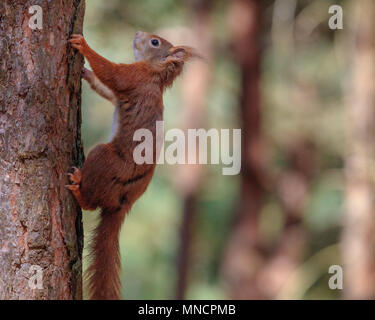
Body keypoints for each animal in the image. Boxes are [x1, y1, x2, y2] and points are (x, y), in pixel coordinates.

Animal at [66, 31, 198, 298]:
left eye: (155, 42)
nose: (137, 33)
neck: (154, 73)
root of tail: (122, 203)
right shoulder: (125, 89)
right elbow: (107, 90)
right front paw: (85, 72)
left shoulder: (134, 78)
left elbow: (112, 73)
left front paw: (84, 46)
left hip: (103, 158)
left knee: (90, 203)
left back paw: (78, 187)